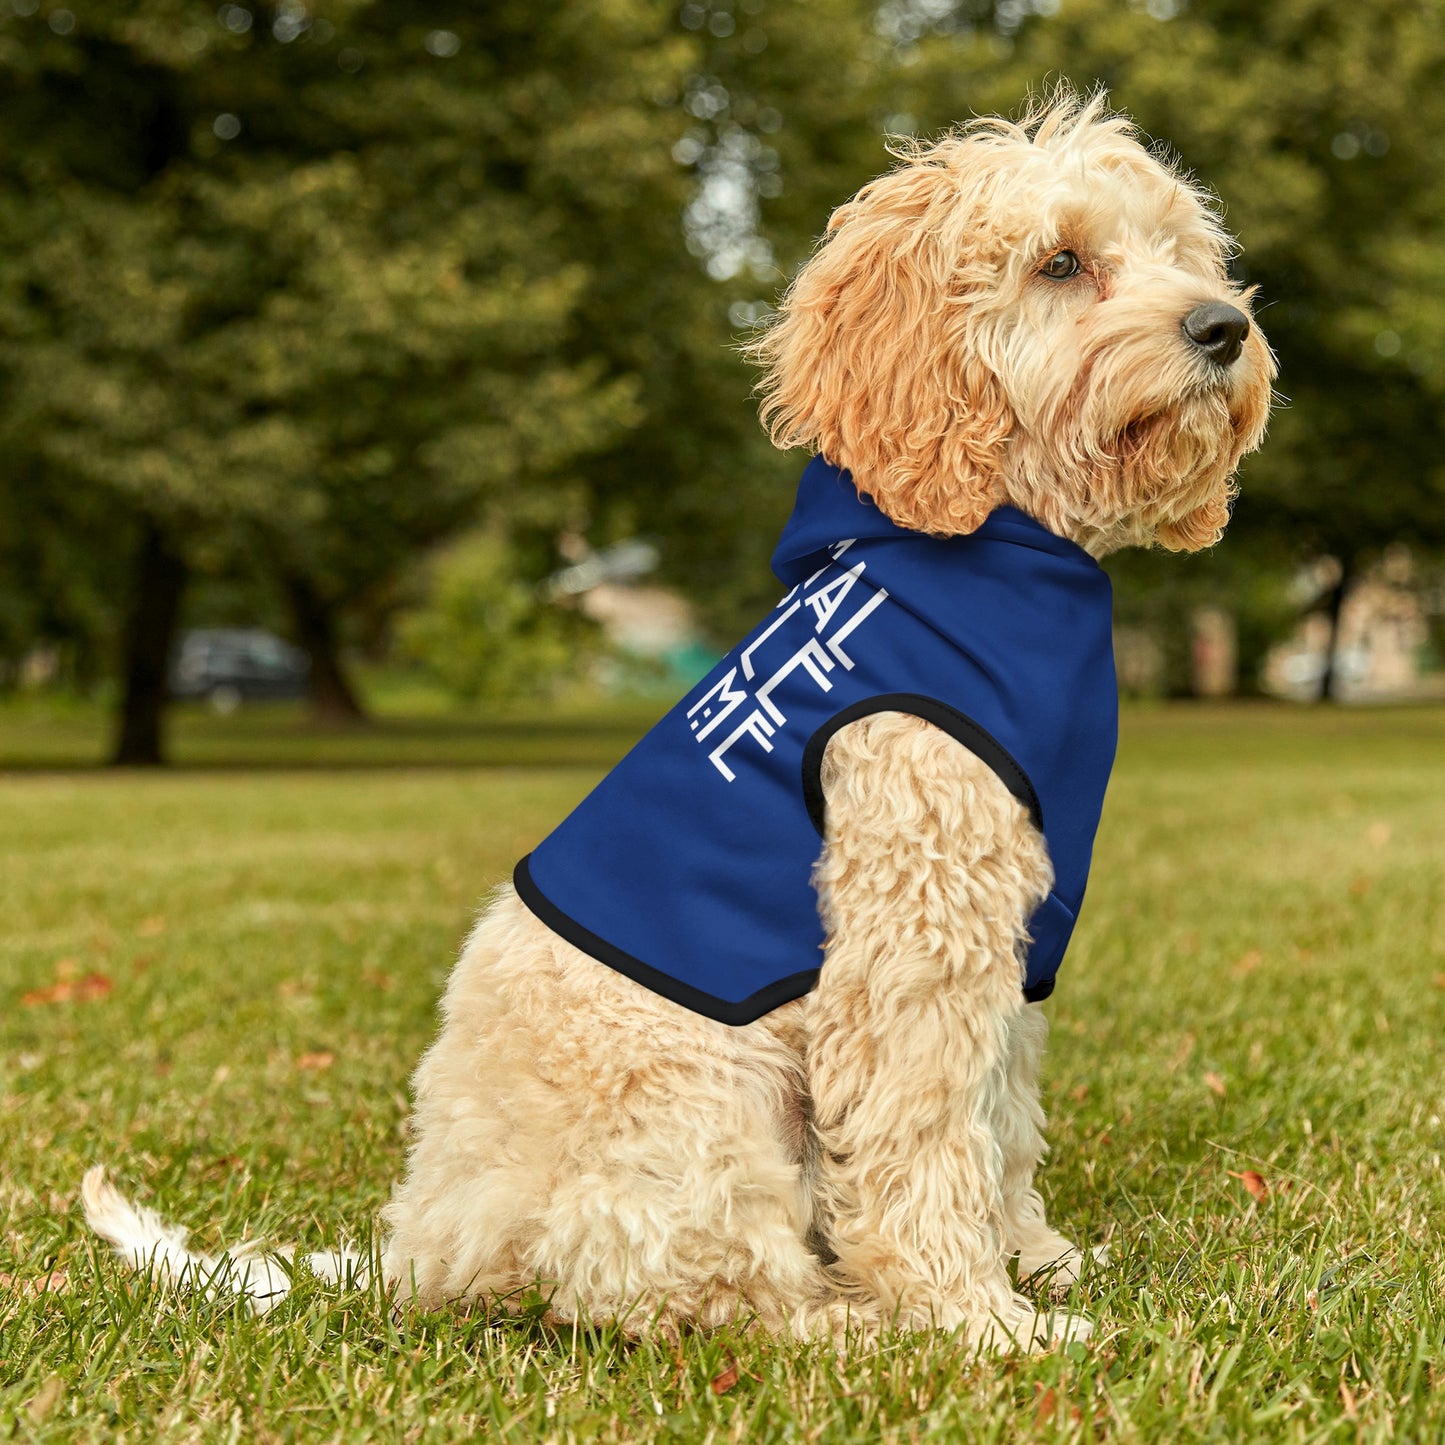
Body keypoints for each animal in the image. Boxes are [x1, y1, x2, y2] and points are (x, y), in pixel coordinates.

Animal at [84, 93, 1271, 1352]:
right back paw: (852, 1322)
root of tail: (424, 1245)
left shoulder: (1009, 937)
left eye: (1179, 251)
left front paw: (1034, 1259)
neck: (988, 545)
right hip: (704, 1101)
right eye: (1059, 262)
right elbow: (924, 1137)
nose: (1222, 327)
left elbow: (998, 1118)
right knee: (699, 1291)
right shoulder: (912, 934)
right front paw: (976, 1318)